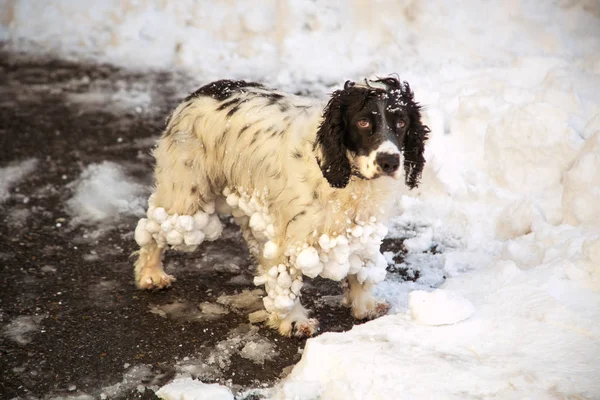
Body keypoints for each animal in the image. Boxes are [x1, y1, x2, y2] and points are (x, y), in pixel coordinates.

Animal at [134, 76, 428, 338]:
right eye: (363, 122)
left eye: (402, 122)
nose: (390, 161)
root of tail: (196, 94)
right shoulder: (293, 237)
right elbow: (287, 282)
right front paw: (294, 322)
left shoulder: (362, 227)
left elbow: (361, 272)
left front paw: (364, 307)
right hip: (186, 202)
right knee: (150, 230)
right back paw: (151, 275)